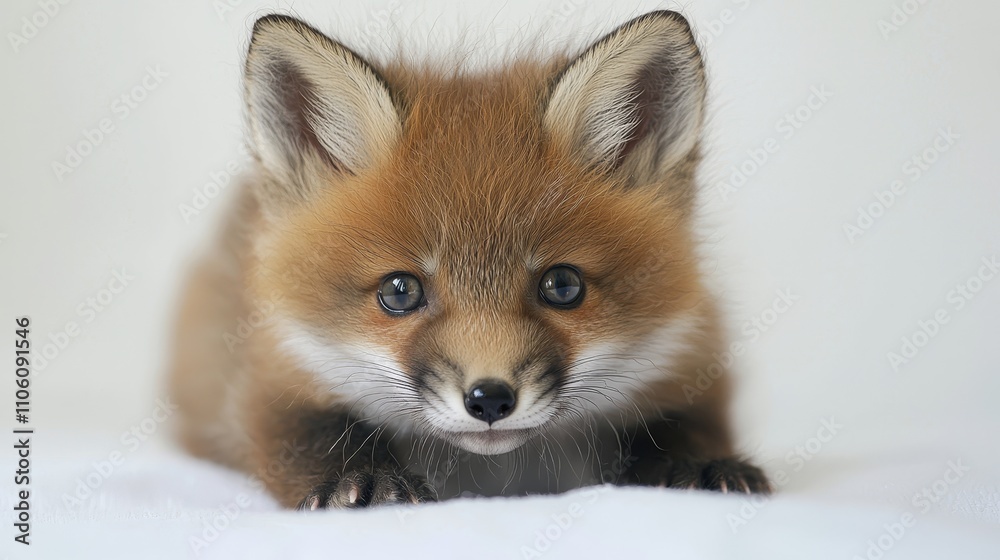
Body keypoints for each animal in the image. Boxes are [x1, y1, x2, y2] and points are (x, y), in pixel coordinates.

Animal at [169, 10, 771, 510]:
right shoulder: (271, 374)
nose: (489, 399)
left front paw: (699, 464)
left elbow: (680, 424)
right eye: (399, 292)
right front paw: (359, 479)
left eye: (562, 286)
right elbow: (310, 435)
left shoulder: (689, 355)